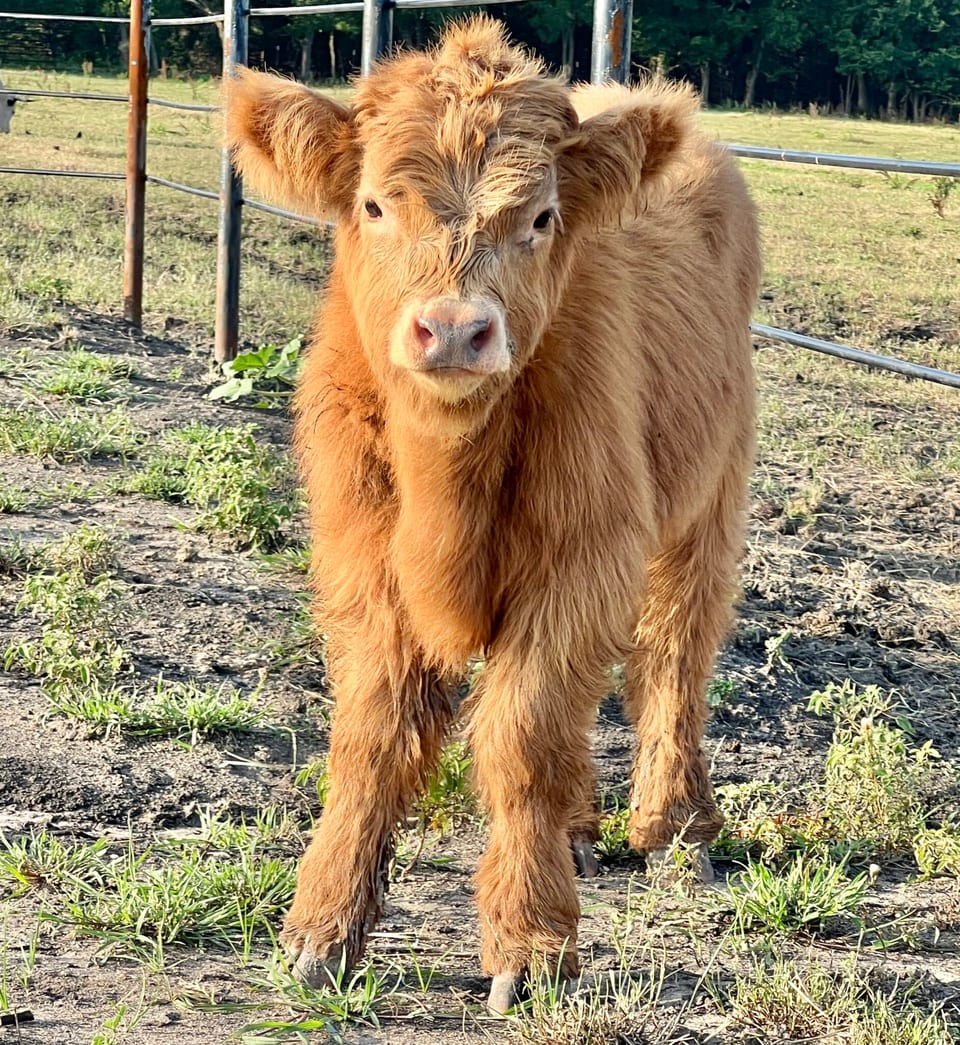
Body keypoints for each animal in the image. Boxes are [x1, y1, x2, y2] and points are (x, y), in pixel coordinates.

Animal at [225, 17, 760, 1014]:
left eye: (540, 219)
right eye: (373, 207)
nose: (452, 329)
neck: (448, 479)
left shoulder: (581, 556)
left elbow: (522, 734)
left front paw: (533, 943)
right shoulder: (362, 559)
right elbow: (374, 733)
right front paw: (321, 930)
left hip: (710, 498)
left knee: (674, 651)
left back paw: (675, 828)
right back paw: (583, 823)